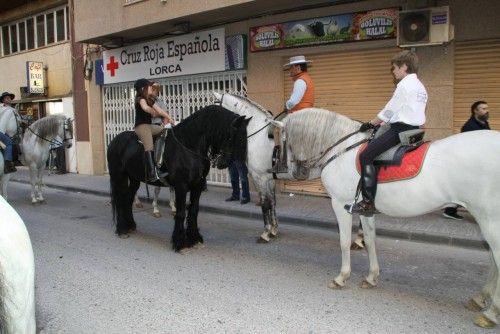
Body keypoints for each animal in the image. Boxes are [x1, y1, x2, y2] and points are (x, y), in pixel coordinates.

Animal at [108, 105, 250, 250]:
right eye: (231, 136)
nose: (225, 163)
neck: (188, 147)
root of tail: (114, 141)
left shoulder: (198, 185)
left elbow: (193, 210)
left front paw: (194, 238)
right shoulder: (181, 186)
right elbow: (181, 212)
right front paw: (179, 242)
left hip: (134, 178)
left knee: (128, 199)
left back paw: (130, 225)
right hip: (118, 176)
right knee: (120, 200)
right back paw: (122, 229)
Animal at [212, 92, 286, 241]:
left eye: (214, 106)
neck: (258, 134)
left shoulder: (260, 177)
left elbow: (265, 203)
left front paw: (266, 232)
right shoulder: (270, 179)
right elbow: (272, 202)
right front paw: (274, 229)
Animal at [282, 107, 500, 328]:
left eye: (283, 140)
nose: (298, 172)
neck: (342, 149)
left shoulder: (339, 204)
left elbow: (343, 242)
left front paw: (341, 277)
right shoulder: (365, 209)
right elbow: (370, 240)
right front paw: (371, 277)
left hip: (489, 218)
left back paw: (491, 313)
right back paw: (480, 298)